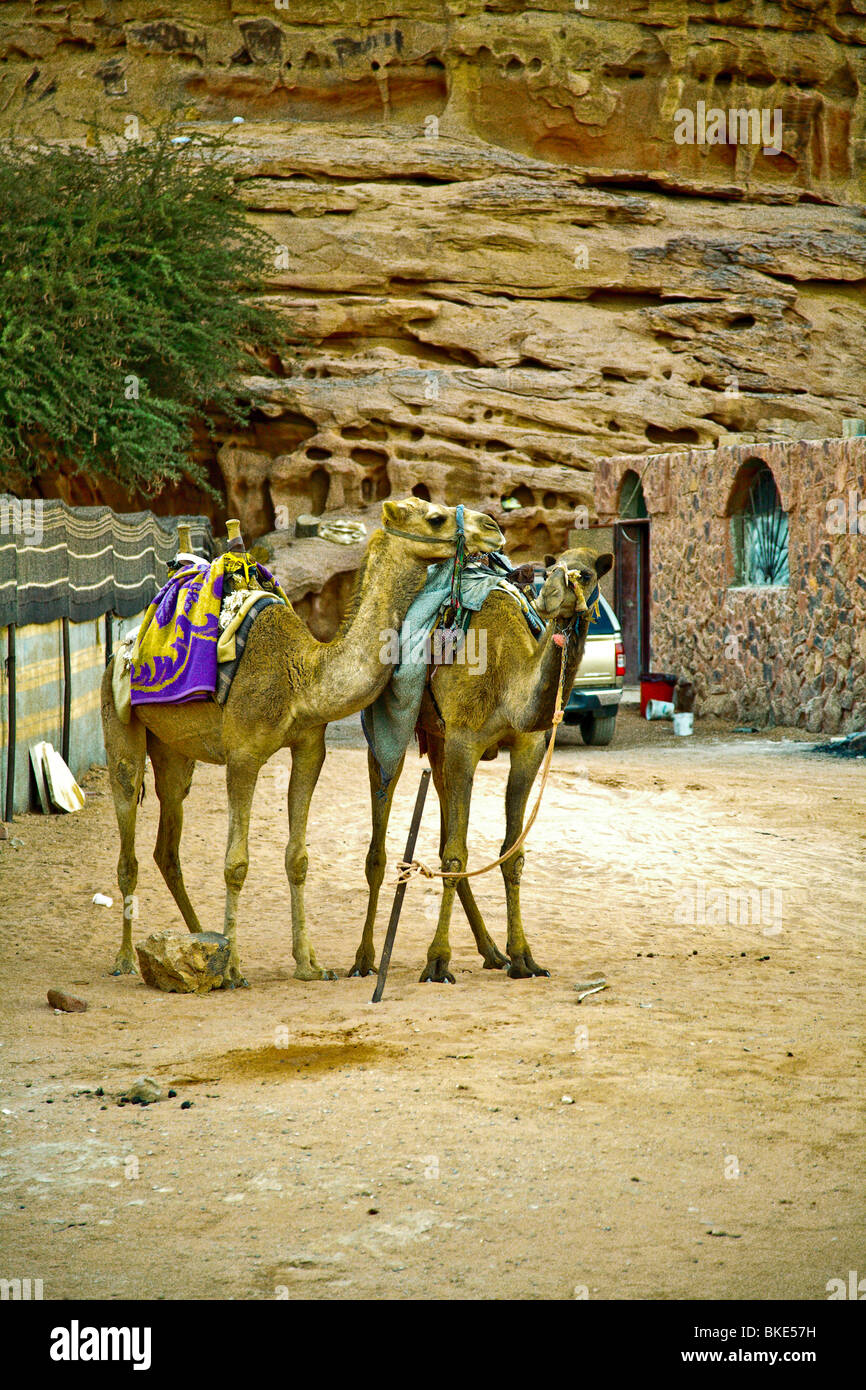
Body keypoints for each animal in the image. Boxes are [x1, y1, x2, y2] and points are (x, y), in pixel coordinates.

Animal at [100, 498, 504, 986]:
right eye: (435, 517)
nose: (493, 527)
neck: (303, 679)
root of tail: (124, 646)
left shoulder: (310, 748)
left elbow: (298, 858)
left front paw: (309, 964)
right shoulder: (243, 754)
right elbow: (236, 864)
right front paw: (234, 968)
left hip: (175, 751)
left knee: (167, 845)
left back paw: (200, 940)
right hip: (119, 723)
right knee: (128, 840)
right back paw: (126, 958)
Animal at [350, 547, 613, 983]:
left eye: (587, 574)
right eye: (552, 569)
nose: (549, 598)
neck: (508, 676)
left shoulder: (527, 746)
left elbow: (511, 852)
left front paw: (523, 957)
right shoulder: (463, 741)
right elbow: (456, 854)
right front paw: (437, 962)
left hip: (437, 743)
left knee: (444, 834)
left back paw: (492, 952)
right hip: (390, 726)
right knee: (381, 848)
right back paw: (364, 959)